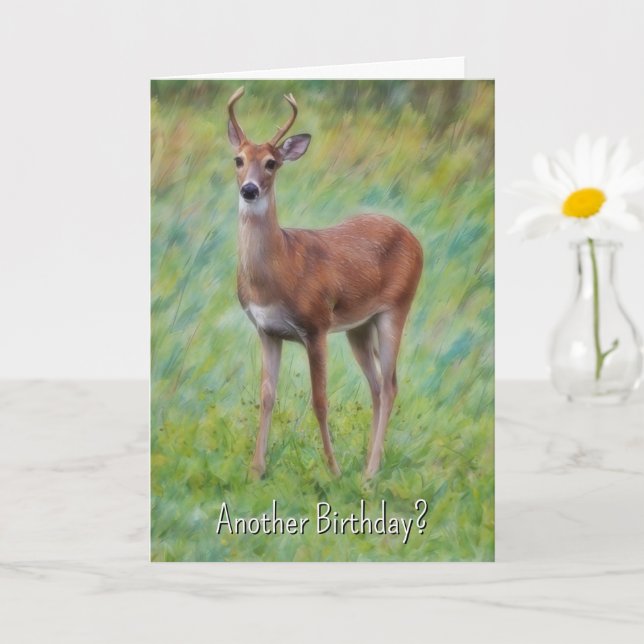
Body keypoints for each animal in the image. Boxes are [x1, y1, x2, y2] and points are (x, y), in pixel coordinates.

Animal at [227, 87, 423, 479]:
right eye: (238, 159)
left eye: (272, 163)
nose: (250, 190)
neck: (280, 269)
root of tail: (415, 239)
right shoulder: (266, 330)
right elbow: (267, 396)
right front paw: (256, 470)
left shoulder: (316, 325)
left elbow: (320, 401)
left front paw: (332, 469)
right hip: (359, 326)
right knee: (376, 385)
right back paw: (370, 462)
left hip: (397, 306)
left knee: (390, 385)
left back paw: (369, 473)